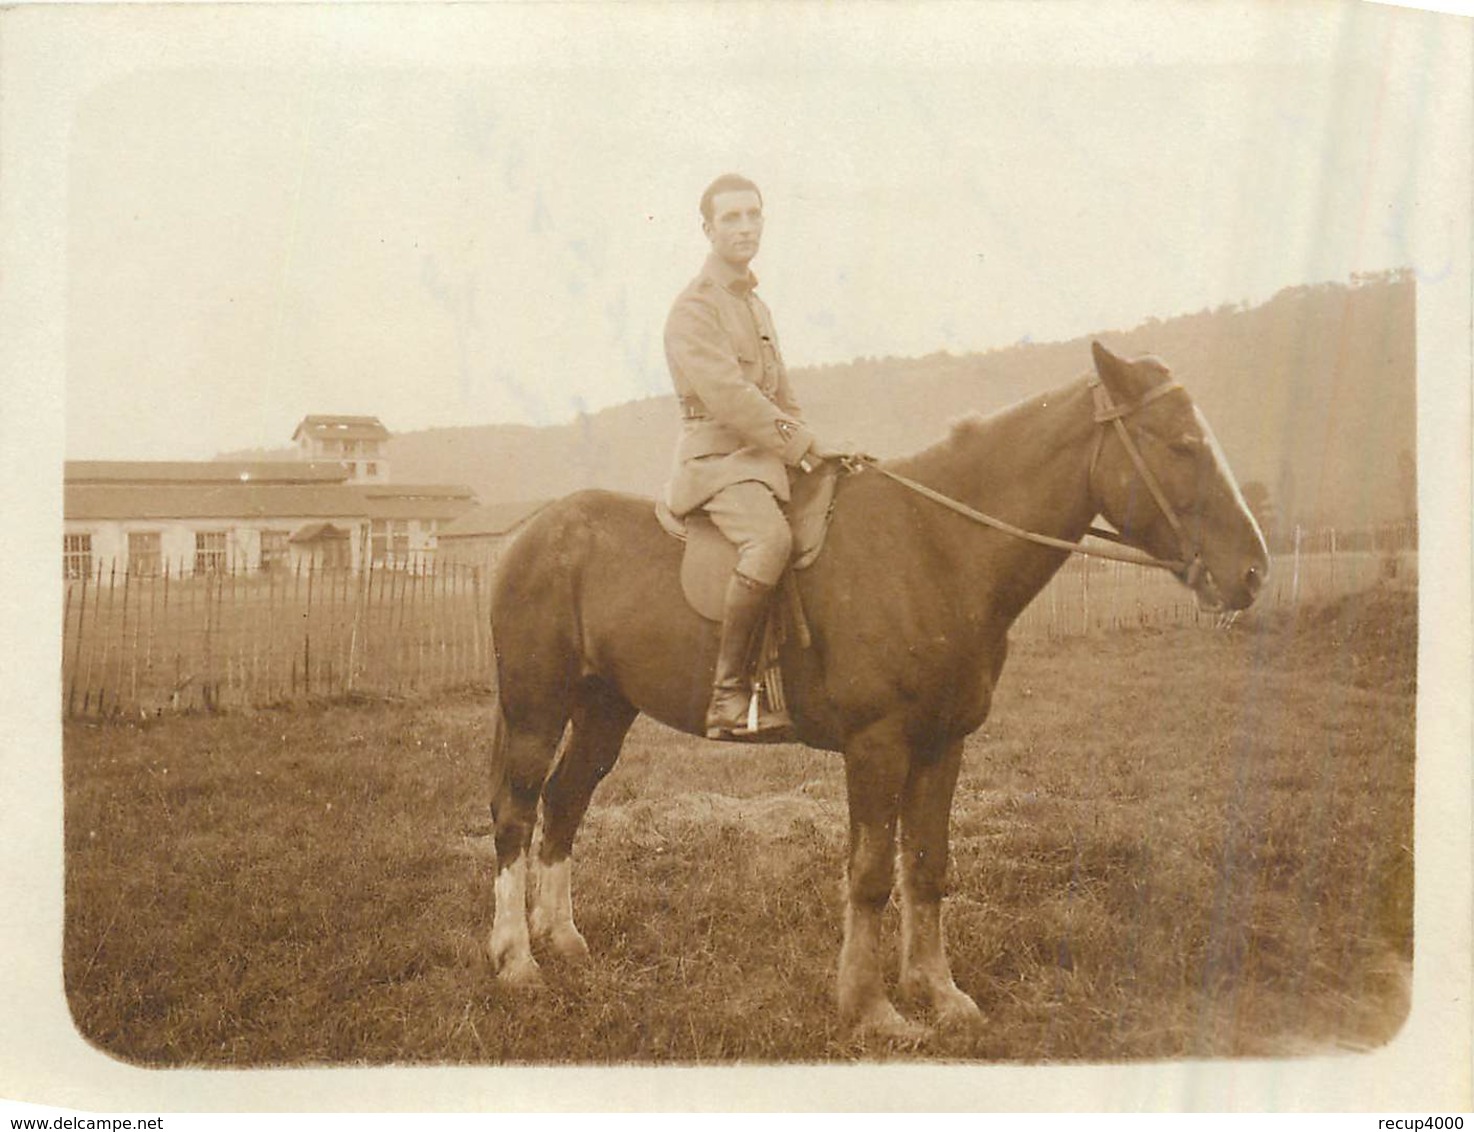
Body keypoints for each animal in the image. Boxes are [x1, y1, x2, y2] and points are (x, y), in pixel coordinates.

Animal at [483, 340, 1267, 1037]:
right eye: (1183, 444)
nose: (1252, 572)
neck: (937, 546)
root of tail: (530, 534)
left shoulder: (942, 745)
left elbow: (926, 868)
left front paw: (938, 992)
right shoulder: (877, 746)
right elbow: (869, 875)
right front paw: (871, 1008)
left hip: (605, 708)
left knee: (566, 802)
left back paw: (562, 940)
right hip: (536, 708)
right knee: (517, 814)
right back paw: (517, 961)